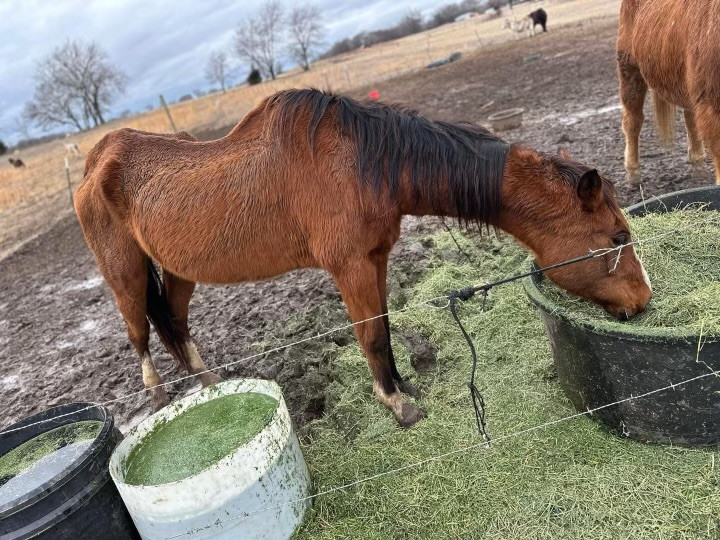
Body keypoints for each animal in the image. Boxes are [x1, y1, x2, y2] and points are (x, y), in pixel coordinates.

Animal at [74, 89, 652, 427]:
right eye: (617, 236)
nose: (644, 300)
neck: (367, 164)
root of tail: (96, 160)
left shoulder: (376, 259)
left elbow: (385, 327)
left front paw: (402, 384)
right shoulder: (349, 266)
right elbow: (369, 333)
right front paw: (397, 404)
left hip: (178, 271)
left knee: (174, 322)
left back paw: (213, 385)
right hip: (124, 273)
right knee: (139, 334)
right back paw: (158, 399)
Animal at [617, 0, 720, 185]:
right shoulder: (710, 104)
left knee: (690, 118)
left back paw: (698, 165)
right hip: (629, 70)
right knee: (632, 120)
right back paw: (633, 173)